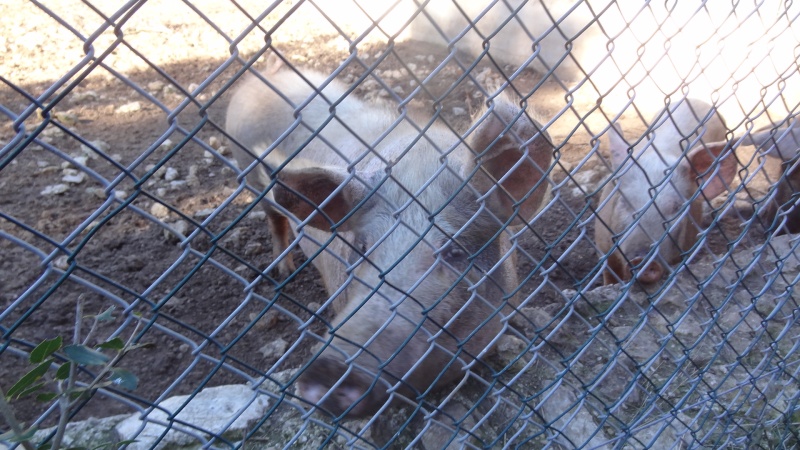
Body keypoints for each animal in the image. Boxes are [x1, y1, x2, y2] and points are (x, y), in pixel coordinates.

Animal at [222, 64, 552, 418]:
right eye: (363, 248)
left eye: (455, 251)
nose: (329, 368)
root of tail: (256, 81)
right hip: (252, 179)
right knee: (275, 220)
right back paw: (282, 272)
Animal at [592, 100, 736, 286]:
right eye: (624, 201)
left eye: (677, 207)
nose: (643, 260)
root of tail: (697, 100)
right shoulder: (602, 245)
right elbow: (610, 273)